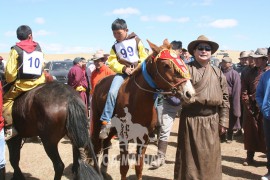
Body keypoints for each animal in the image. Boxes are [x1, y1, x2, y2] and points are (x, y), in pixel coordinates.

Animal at [90, 38, 196, 179]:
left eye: (181, 60)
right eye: (166, 65)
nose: (190, 93)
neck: (137, 101)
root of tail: (99, 84)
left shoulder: (144, 137)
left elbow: (139, 167)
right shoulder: (123, 136)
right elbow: (124, 167)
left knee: (106, 143)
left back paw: (103, 169)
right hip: (97, 123)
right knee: (97, 147)